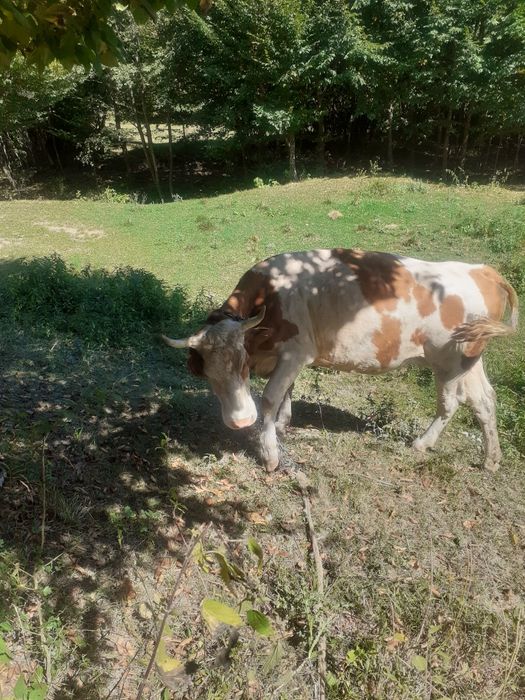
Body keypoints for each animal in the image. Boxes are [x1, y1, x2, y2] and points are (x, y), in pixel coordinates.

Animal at [162, 249, 518, 472]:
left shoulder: (295, 351)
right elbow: (286, 392)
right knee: (484, 400)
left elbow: (270, 398)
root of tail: (481, 270)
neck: (271, 296)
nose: (239, 422)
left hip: (448, 362)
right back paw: (491, 460)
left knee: (452, 402)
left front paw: (269, 454)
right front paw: (283, 423)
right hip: (470, 360)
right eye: (208, 374)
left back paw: (422, 443)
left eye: (242, 362)